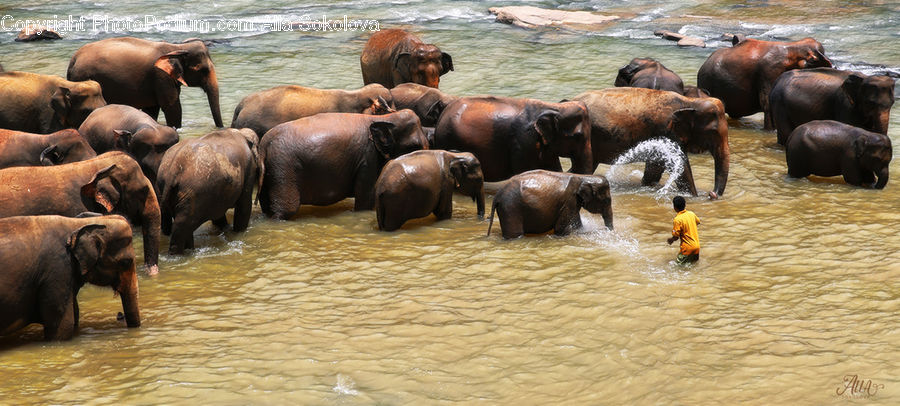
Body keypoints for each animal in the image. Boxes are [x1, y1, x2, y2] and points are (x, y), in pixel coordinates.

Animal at [0, 214, 140, 341]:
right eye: (126, 262)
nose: (119, 315)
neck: (79, 223)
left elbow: (75, 315)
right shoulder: (58, 270)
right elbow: (62, 327)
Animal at [67, 37, 223, 128]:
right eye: (203, 70)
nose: (221, 128)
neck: (176, 47)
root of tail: (73, 59)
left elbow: (152, 109)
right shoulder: (160, 76)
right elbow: (172, 107)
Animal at [258, 109, 429, 220]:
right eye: (414, 146)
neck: (385, 117)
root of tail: (264, 144)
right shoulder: (367, 158)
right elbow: (365, 200)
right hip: (283, 168)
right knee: (286, 210)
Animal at [433, 96, 593, 182]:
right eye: (578, 136)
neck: (552, 107)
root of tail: (442, 114)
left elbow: (553, 168)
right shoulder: (524, 142)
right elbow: (525, 170)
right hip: (447, 138)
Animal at [572, 88, 730, 198]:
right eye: (713, 131)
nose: (711, 194)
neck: (689, 101)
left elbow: (655, 167)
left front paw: (648, 185)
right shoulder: (665, 130)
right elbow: (681, 165)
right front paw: (694, 197)